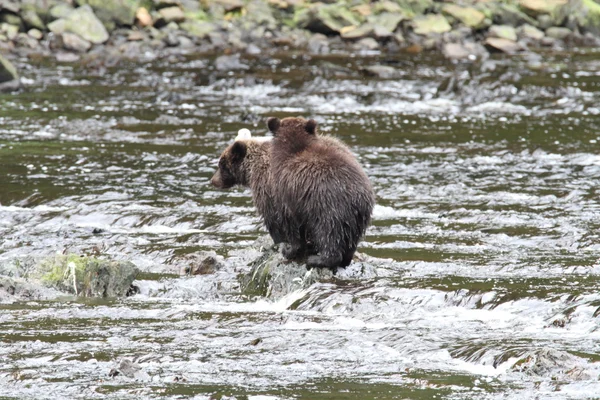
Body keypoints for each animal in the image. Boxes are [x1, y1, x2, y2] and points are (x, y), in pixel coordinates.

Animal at [268, 117, 376, 270]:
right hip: (358, 218)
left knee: (329, 234)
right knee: (350, 241)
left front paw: (288, 249)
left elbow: (291, 223)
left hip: (329, 208)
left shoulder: (287, 193)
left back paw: (317, 259)